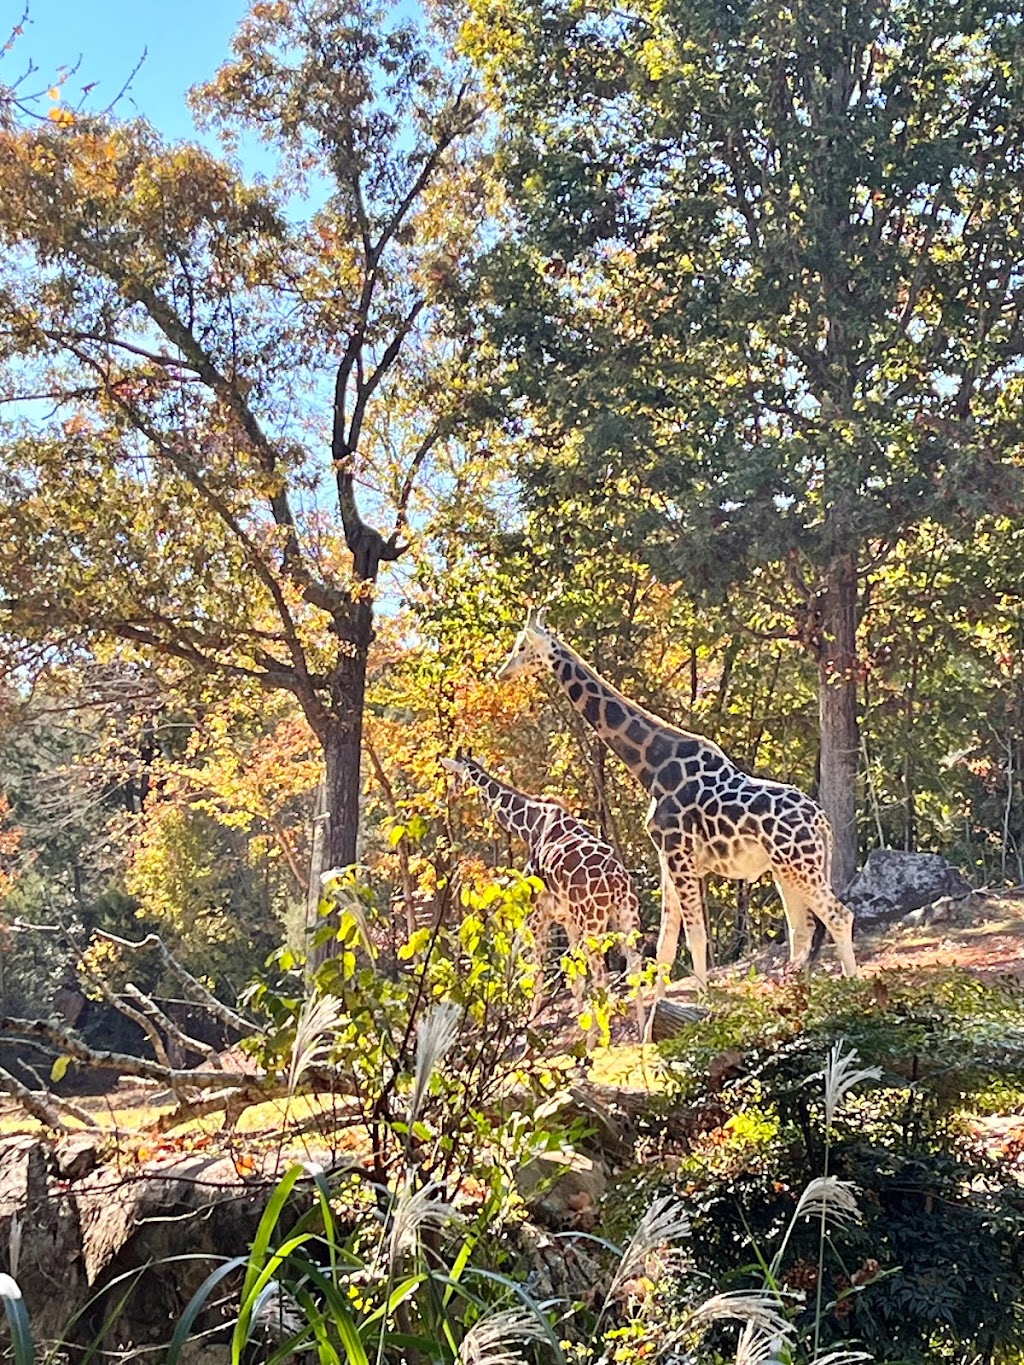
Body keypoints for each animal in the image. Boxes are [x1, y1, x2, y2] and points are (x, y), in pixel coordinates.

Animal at [436, 748, 644, 1031]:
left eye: (454, 776)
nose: (449, 796)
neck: (529, 827)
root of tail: (616, 880)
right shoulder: (567, 919)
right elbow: (575, 976)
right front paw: (577, 1019)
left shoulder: (537, 915)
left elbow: (538, 970)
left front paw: (532, 1024)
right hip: (626, 914)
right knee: (634, 965)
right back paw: (644, 1030)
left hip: (592, 922)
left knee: (602, 975)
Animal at [496, 608, 857, 1026]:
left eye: (523, 646)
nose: (502, 672)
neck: (651, 766)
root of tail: (823, 822)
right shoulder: (669, 857)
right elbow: (666, 944)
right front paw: (655, 1022)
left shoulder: (679, 854)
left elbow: (695, 936)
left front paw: (703, 1006)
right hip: (787, 870)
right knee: (802, 930)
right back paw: (796, 1002)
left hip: (801, 866)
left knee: (839, 916)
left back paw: (853, 989)